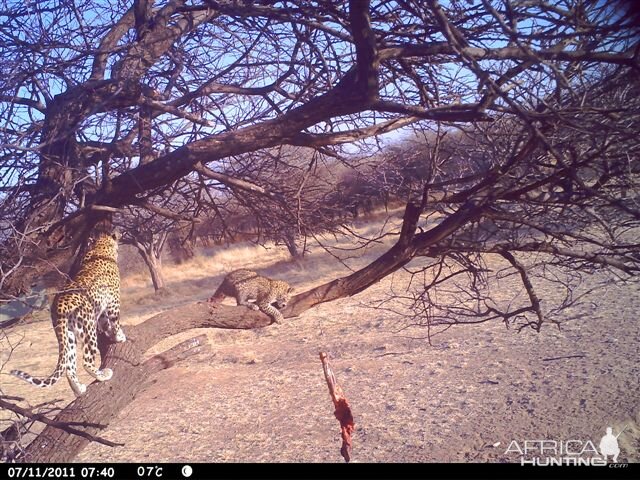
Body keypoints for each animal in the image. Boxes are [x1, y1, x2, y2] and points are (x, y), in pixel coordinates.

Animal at [11, 232, 125, 394]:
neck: (100, 248)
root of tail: (59, 308)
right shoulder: (113, 302)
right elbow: (115, 320)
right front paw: (119, 337)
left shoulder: (101, 306)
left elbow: (105, 322)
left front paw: (110, 333)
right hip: (88, 327)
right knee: (86, 361)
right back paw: (103, 375)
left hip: (68, 335)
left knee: (69, 368)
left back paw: (79, 389)